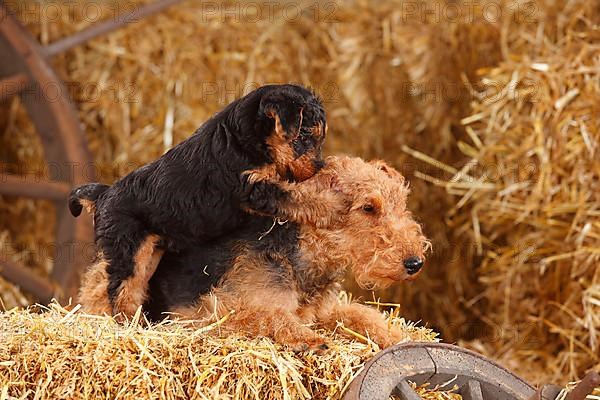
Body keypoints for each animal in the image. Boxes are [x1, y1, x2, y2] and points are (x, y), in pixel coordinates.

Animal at [69, 83, 338, 316]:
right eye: (304, 137)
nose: (318, 167)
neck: (244, 139)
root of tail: (104, 194)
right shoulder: (251, 187)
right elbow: (291, 195)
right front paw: (331, 207)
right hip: (128, 248)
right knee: (121, 289)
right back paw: (127, 321)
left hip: (151, 252)